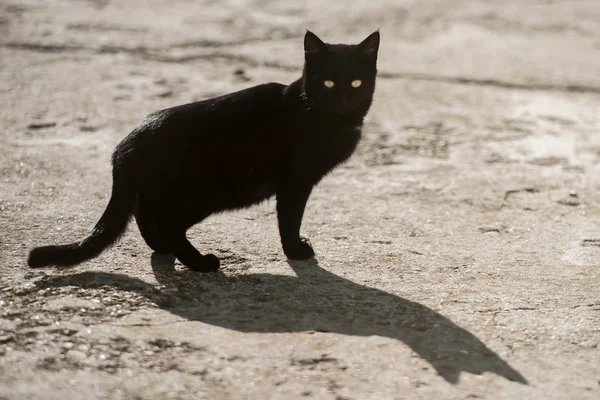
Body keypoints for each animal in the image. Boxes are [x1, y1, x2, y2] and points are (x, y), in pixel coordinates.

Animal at [27, 30, 380, 272]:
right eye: (329, 83)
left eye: (357, 83)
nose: (344, 99)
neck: (325, 119)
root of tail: (126, 143)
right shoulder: (295, 181)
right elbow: (290, 218)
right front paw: (295, 251)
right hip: (203, 193)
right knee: (167, 222)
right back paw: (199, 263)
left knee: (146, 213)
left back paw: (164, 249)